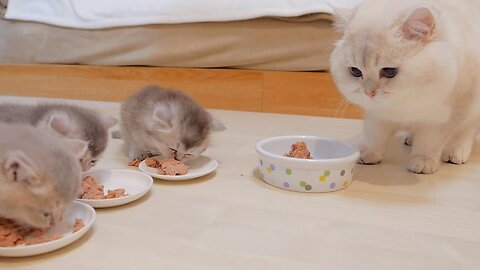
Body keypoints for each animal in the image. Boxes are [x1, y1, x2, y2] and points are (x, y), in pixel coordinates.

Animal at [332, 0, 480, 173]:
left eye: (389, 72)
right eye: (355, 71)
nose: (369, 93)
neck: (404, 104)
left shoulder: (443, 116)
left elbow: (430, 141)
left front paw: (423, 161)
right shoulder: (377, 115)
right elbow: (375, 135)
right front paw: (367, 154)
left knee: (466, 131)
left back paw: (455, 150)